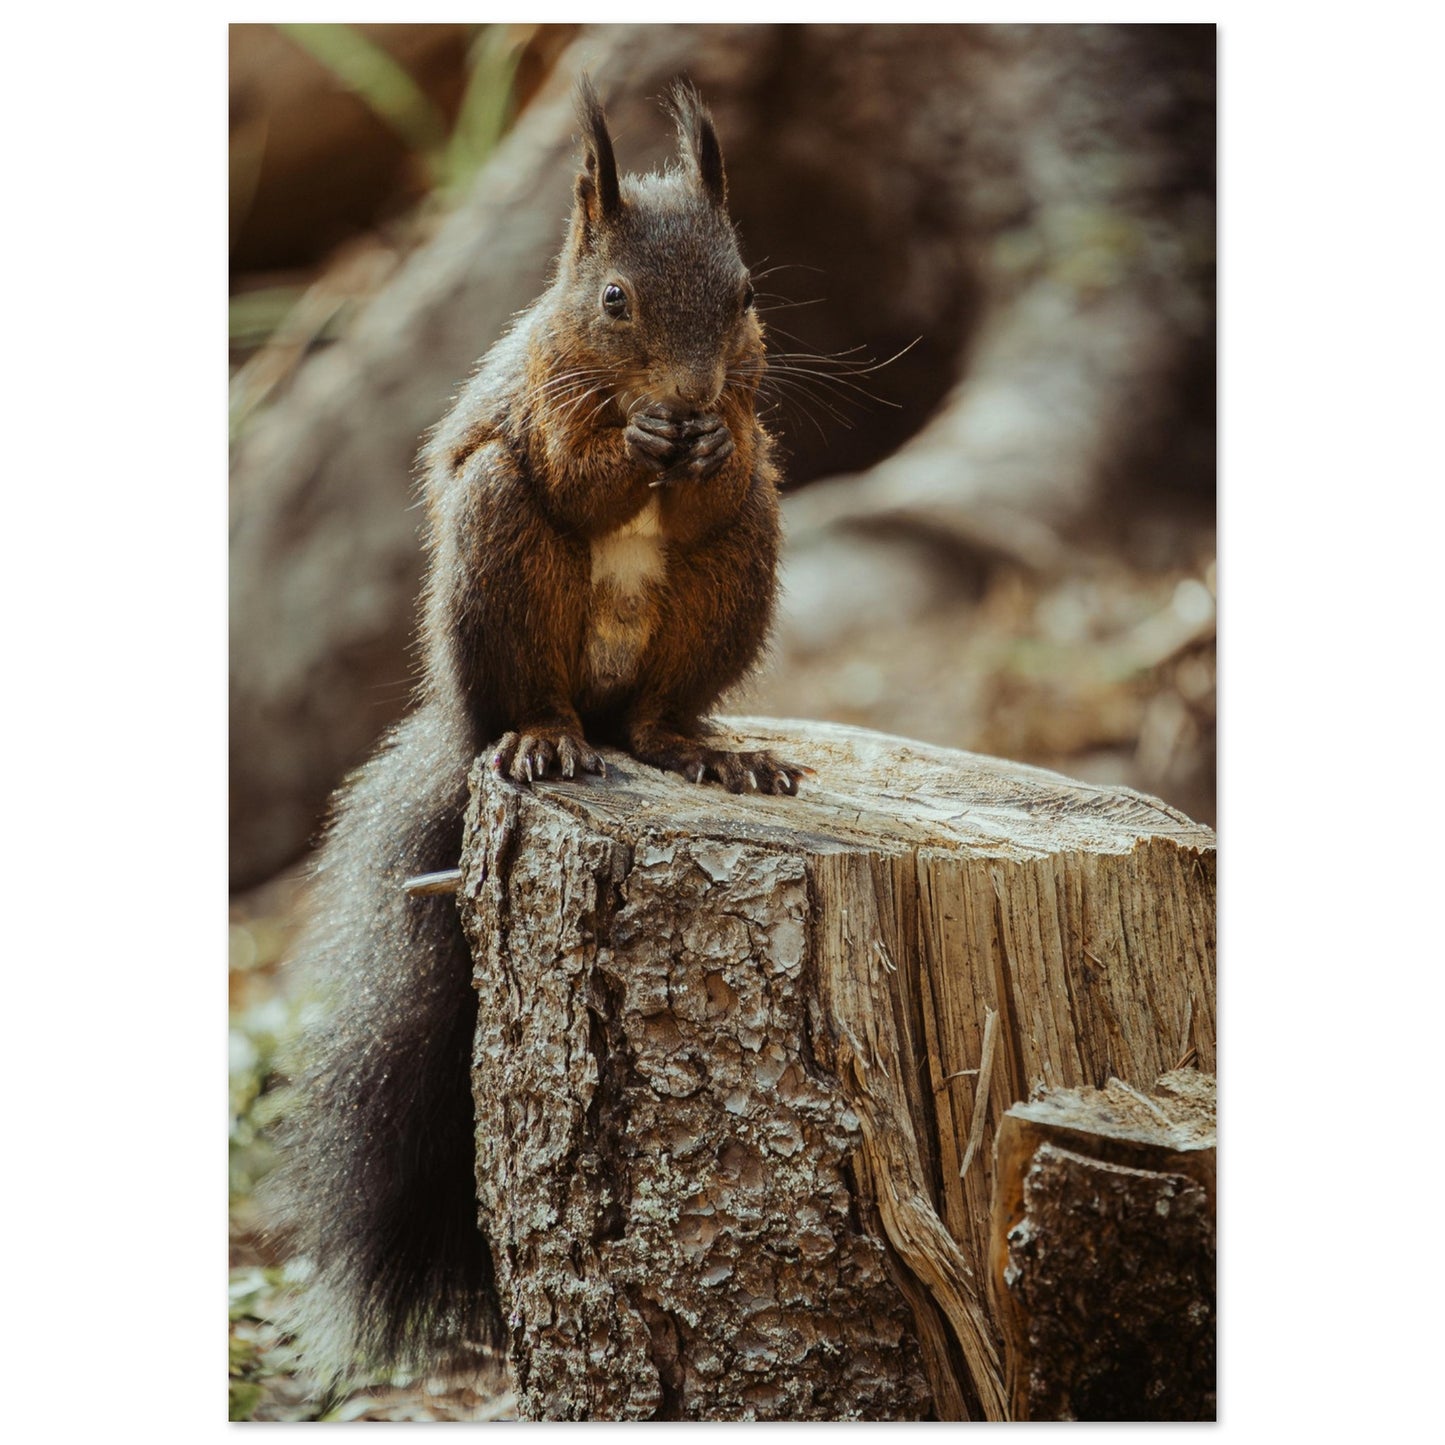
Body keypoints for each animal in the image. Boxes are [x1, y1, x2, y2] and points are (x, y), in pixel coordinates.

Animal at [268, 82, 814, 1387]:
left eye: (746, 295)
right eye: (612, 300)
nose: (687, 396)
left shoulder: (744, 413)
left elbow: (725, 464)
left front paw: (701, 447)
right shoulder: (536, 394)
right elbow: (574, 469)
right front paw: (634, 448)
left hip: (743, 562)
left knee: (667, 694)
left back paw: (702, 746)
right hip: (497, 560)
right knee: (537, 672)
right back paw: (542, 741)